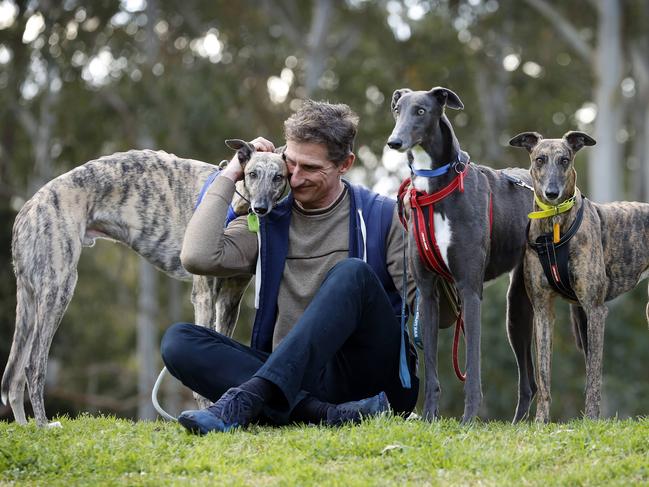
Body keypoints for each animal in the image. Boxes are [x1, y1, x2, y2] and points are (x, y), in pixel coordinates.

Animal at [2, 139, 286, 426]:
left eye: (278, 177)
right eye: (252, 174)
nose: (260, 208)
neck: (234, 203)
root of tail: (27, 208)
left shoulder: (230, 298)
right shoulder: (204, 294)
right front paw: (206, 407)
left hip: (30, 299)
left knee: (14, 377)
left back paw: (27, 425)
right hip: (59, 286)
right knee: (33, 365)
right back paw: (44, 425)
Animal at [388, 86, 536, 422]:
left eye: (421, 111)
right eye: (397, 109)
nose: (394, 142)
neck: (435, 188)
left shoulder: (469, 289)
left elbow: (472, 367)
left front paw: (468, 420)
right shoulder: (428, 292)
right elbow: (431, 368)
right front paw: (429, 418)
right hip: (517, 309)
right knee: (530, 383)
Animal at [508, 131, 648, 424]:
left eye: (565, 159)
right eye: (539, 159)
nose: (552, 193)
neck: (555, 224)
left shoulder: (594, 310)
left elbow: (593, 375)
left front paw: (592, 419)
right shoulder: (543, 312)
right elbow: (544, 375)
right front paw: (541, 421)